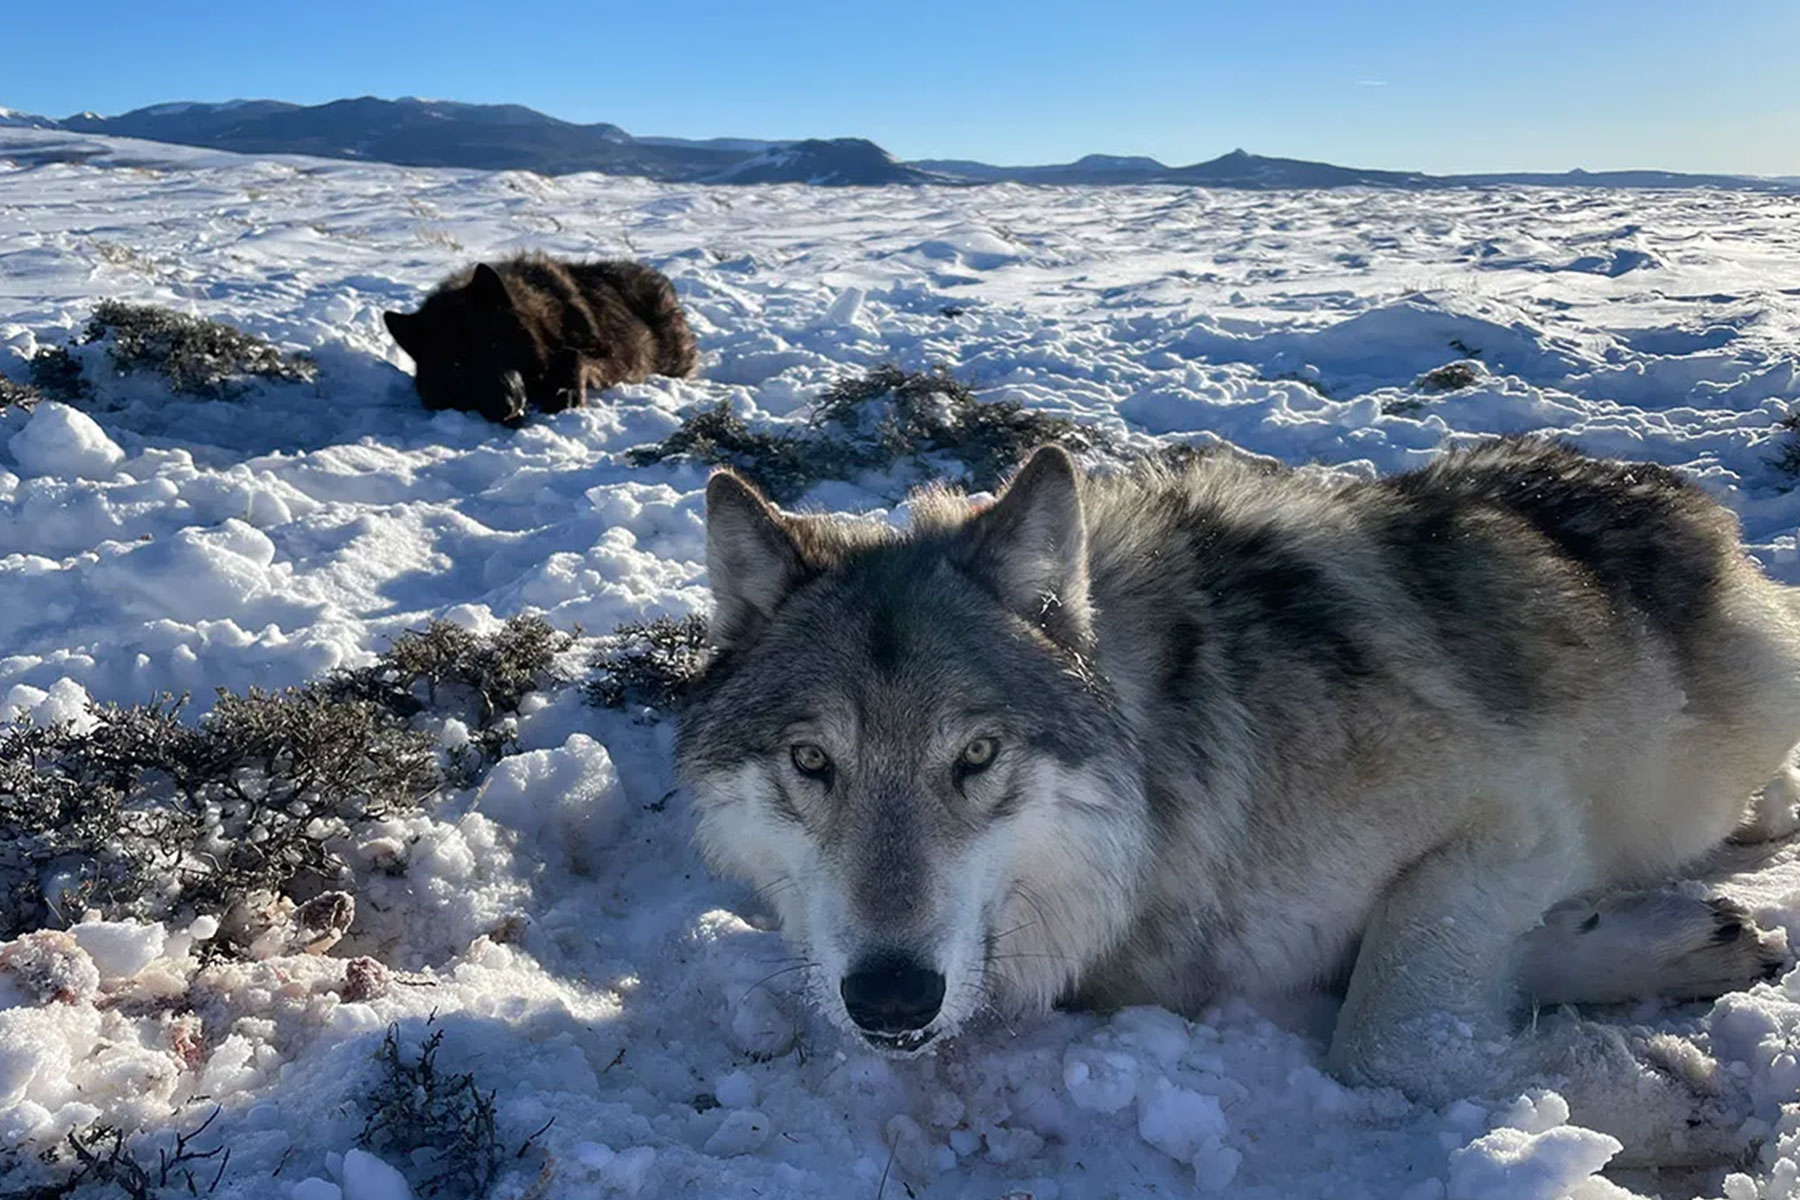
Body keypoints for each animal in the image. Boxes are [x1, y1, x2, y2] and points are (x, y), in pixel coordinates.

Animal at [383, 254, 697, 424]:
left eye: (495, 346)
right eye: (457, 366)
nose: (505, 407)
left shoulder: (606, 355)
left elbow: (573, 354)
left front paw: (564, 394)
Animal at [677, 437, 1800, 1162]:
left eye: (978, 754)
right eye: (812, 761)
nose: (890, 998)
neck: (1182, 776)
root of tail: (1681, 492)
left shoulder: (1513, 817)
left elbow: (1387, 1037)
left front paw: (1658, 1104)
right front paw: (1651, 986)